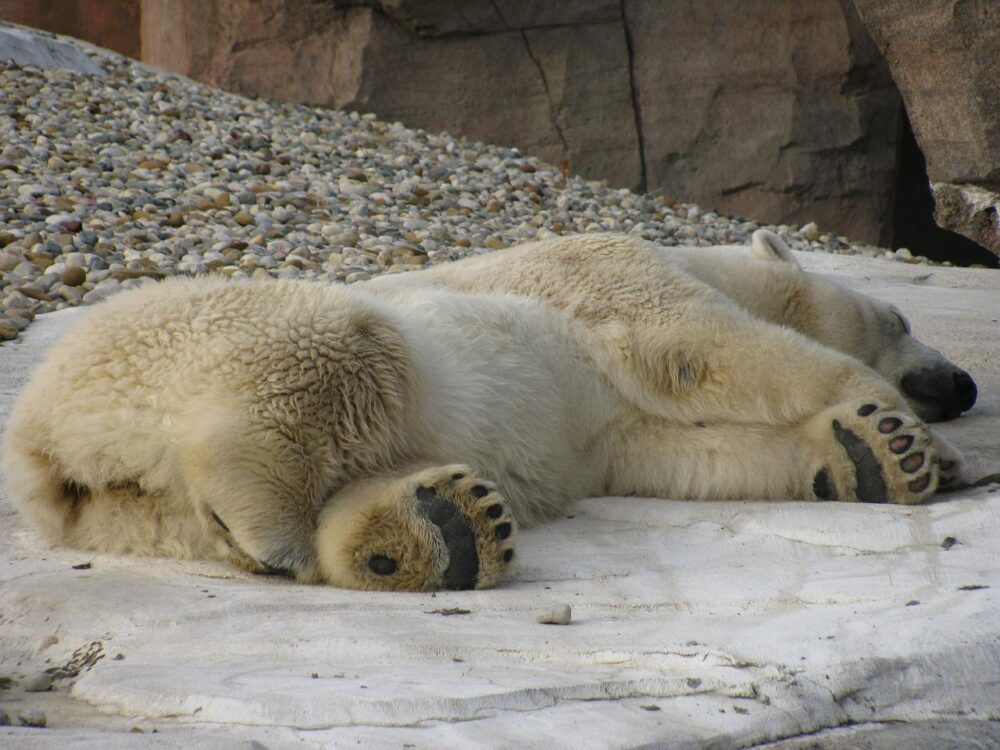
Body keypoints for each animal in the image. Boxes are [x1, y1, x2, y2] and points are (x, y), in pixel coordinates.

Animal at [5, 232, 976, 592]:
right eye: (900, 317)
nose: (964, 384)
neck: (701, 257)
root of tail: (46, 445)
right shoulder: (610, 271)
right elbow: (704, 351)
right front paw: (915, 438)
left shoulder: (615, 427)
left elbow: (684, 453)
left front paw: (872, 456)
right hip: (200, 334)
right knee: (337, 352)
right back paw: (280, 526)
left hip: (133, 517)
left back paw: (433, 531)